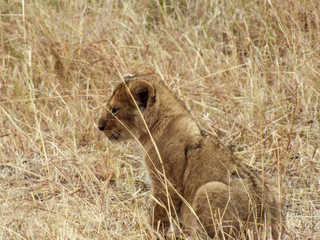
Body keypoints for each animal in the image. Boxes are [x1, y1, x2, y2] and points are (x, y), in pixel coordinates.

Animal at [99, 74, 284, 239]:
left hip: (208, 190)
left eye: (114, 110)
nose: (99, 126)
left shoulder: (168, 183)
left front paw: (151, 234)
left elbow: (159, 214)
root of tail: (263, 218)